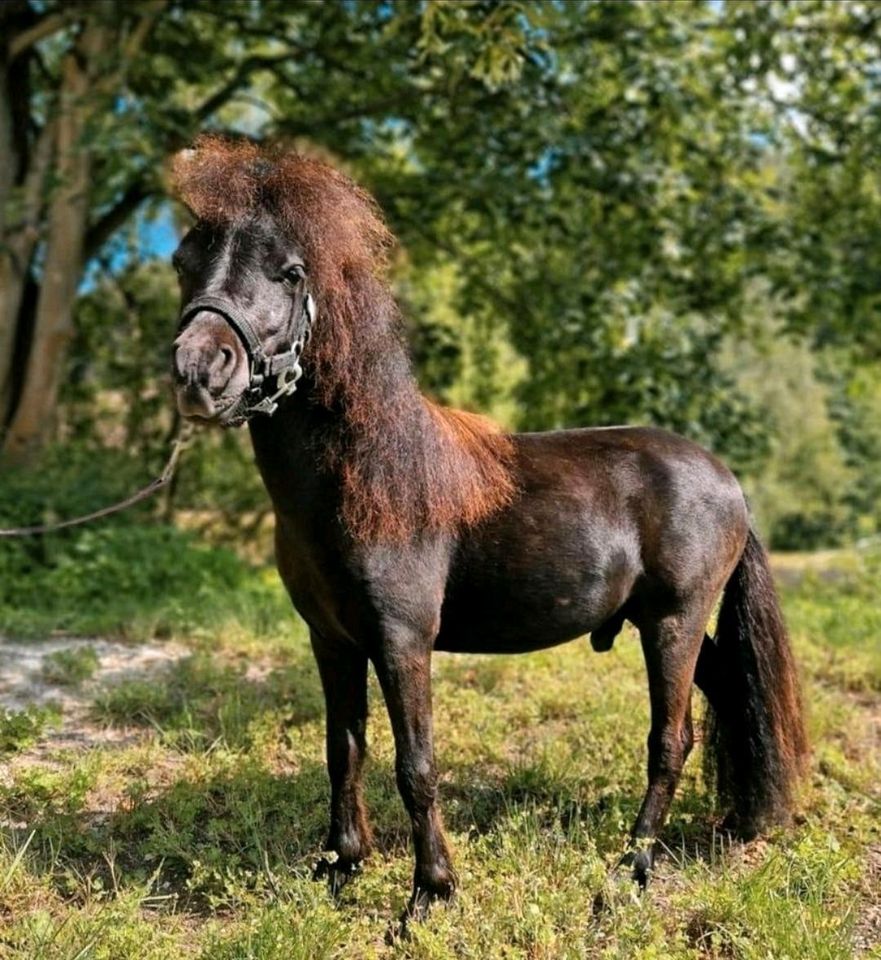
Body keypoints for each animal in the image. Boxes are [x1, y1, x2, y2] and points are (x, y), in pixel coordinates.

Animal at [168, 139, 808, 928]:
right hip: (662, 621)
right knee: (732, 696)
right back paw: (741, 822)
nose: (199, 371)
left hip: (674, 620)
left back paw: (628, 871)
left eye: (289, 273)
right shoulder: (332, 640)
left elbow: (414, 764)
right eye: (184, 261)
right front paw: (339, 869)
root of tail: (725, 478)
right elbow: (342, 751)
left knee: (671, 739)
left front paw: (428, 895)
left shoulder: (401, 640)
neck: (371, 475)